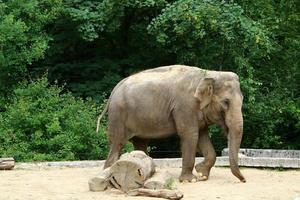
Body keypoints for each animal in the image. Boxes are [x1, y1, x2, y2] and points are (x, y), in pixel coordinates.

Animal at [96, 65, 246, 183]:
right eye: (226, 102)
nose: (244, 180)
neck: (209, 74)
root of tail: (114, 90)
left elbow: (202, 135)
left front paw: (202, 175)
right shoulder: (185, 106)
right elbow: (190, 135)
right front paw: (190, 180)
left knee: (140, 142)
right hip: (118, 115)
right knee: (117, 143)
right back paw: (106, 174)